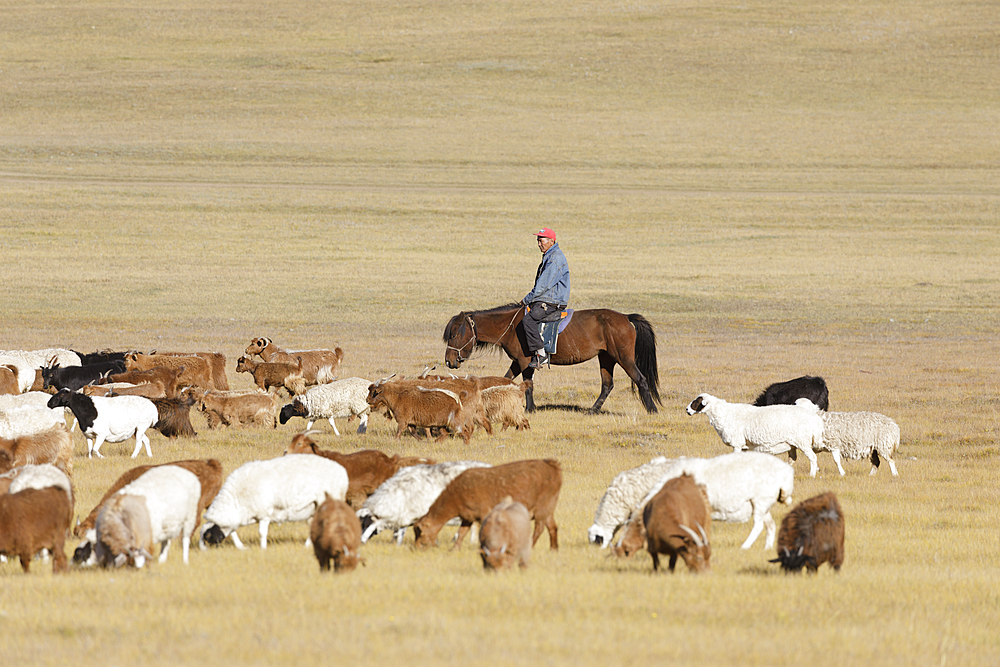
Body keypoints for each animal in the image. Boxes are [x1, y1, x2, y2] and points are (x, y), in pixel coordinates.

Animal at [201, 454, 350, 552]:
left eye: (207, 536)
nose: (204, 551)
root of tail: (342, 471)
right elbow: (233, 532)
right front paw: (241, 547)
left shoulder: (264, 513)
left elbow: (262, 533)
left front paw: (263, 549)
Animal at [410, 460, 560, 552]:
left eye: (419, 532)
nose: (416, 548)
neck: (455, 496)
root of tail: (553, 466)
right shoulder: (468, 517)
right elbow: (462, 533)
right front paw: (454, 549)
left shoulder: (484, 514)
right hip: (549, 509)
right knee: (552, 527)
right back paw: (553, 549)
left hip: (542, 508)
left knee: (539, 528)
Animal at [442, 302, 660, 412]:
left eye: (453, 335)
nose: (449, 361)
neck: (511, 327)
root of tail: (625, 317)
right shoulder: (517, 362)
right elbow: (506, 380)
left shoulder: (525, 361)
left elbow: (528, 385)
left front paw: (530, 409)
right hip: (606, 358)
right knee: (607, 385)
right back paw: (592, 410)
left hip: (624, 358)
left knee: (641, 379)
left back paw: (652, 410)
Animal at [684, 394, 824, 478]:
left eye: (697, 401)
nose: (687, 410)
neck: (723, 413)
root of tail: (814, 417)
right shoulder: (745, 446)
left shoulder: (737, 444)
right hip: (792, 444)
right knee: (792, 459)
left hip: (803, 442)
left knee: (813, 458)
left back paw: (812, 475)